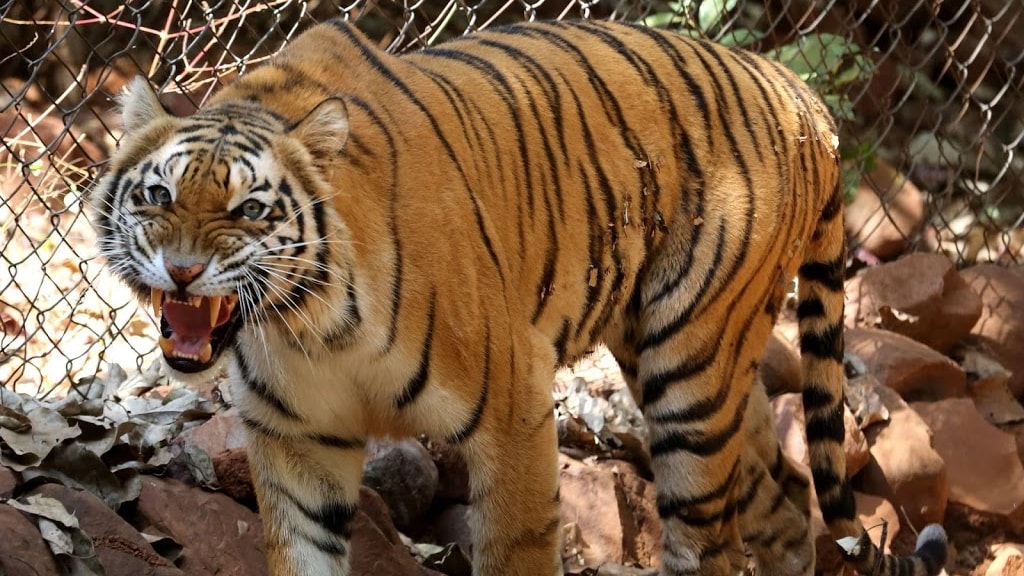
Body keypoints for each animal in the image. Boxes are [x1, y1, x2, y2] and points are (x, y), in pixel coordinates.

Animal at [89, 17, 948, 576]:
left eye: (249, 210)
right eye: (158, 195)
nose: (181, 271)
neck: (306, 328)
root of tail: (802, 93)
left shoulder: (513, 412)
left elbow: (514, 548)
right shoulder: (297, 442)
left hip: (694, 375)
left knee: (711, 541)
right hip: (707, 369)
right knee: (787, 503)